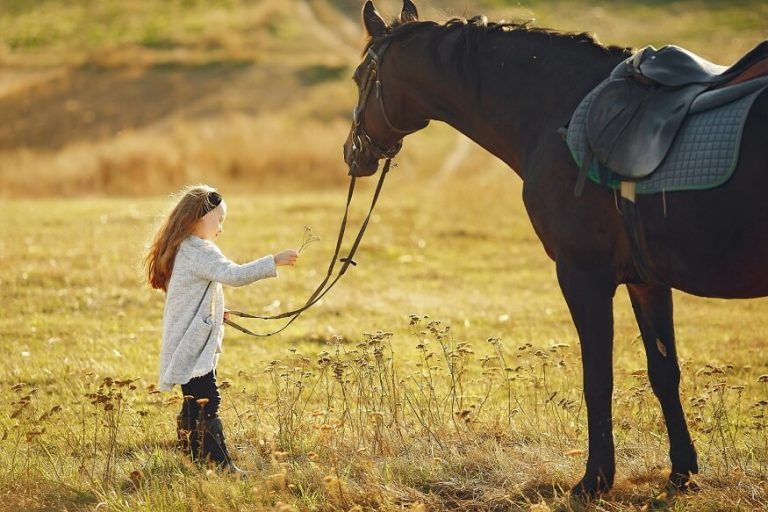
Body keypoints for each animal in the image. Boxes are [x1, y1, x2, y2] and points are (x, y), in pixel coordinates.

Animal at [342, 0, 768, 498]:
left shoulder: (583, 274)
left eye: (359, 77)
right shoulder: (647, 282)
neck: (556, 111)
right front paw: (681, 472)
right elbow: (664, 372)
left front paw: (594, 479)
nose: (352, 153)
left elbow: (597, 379)